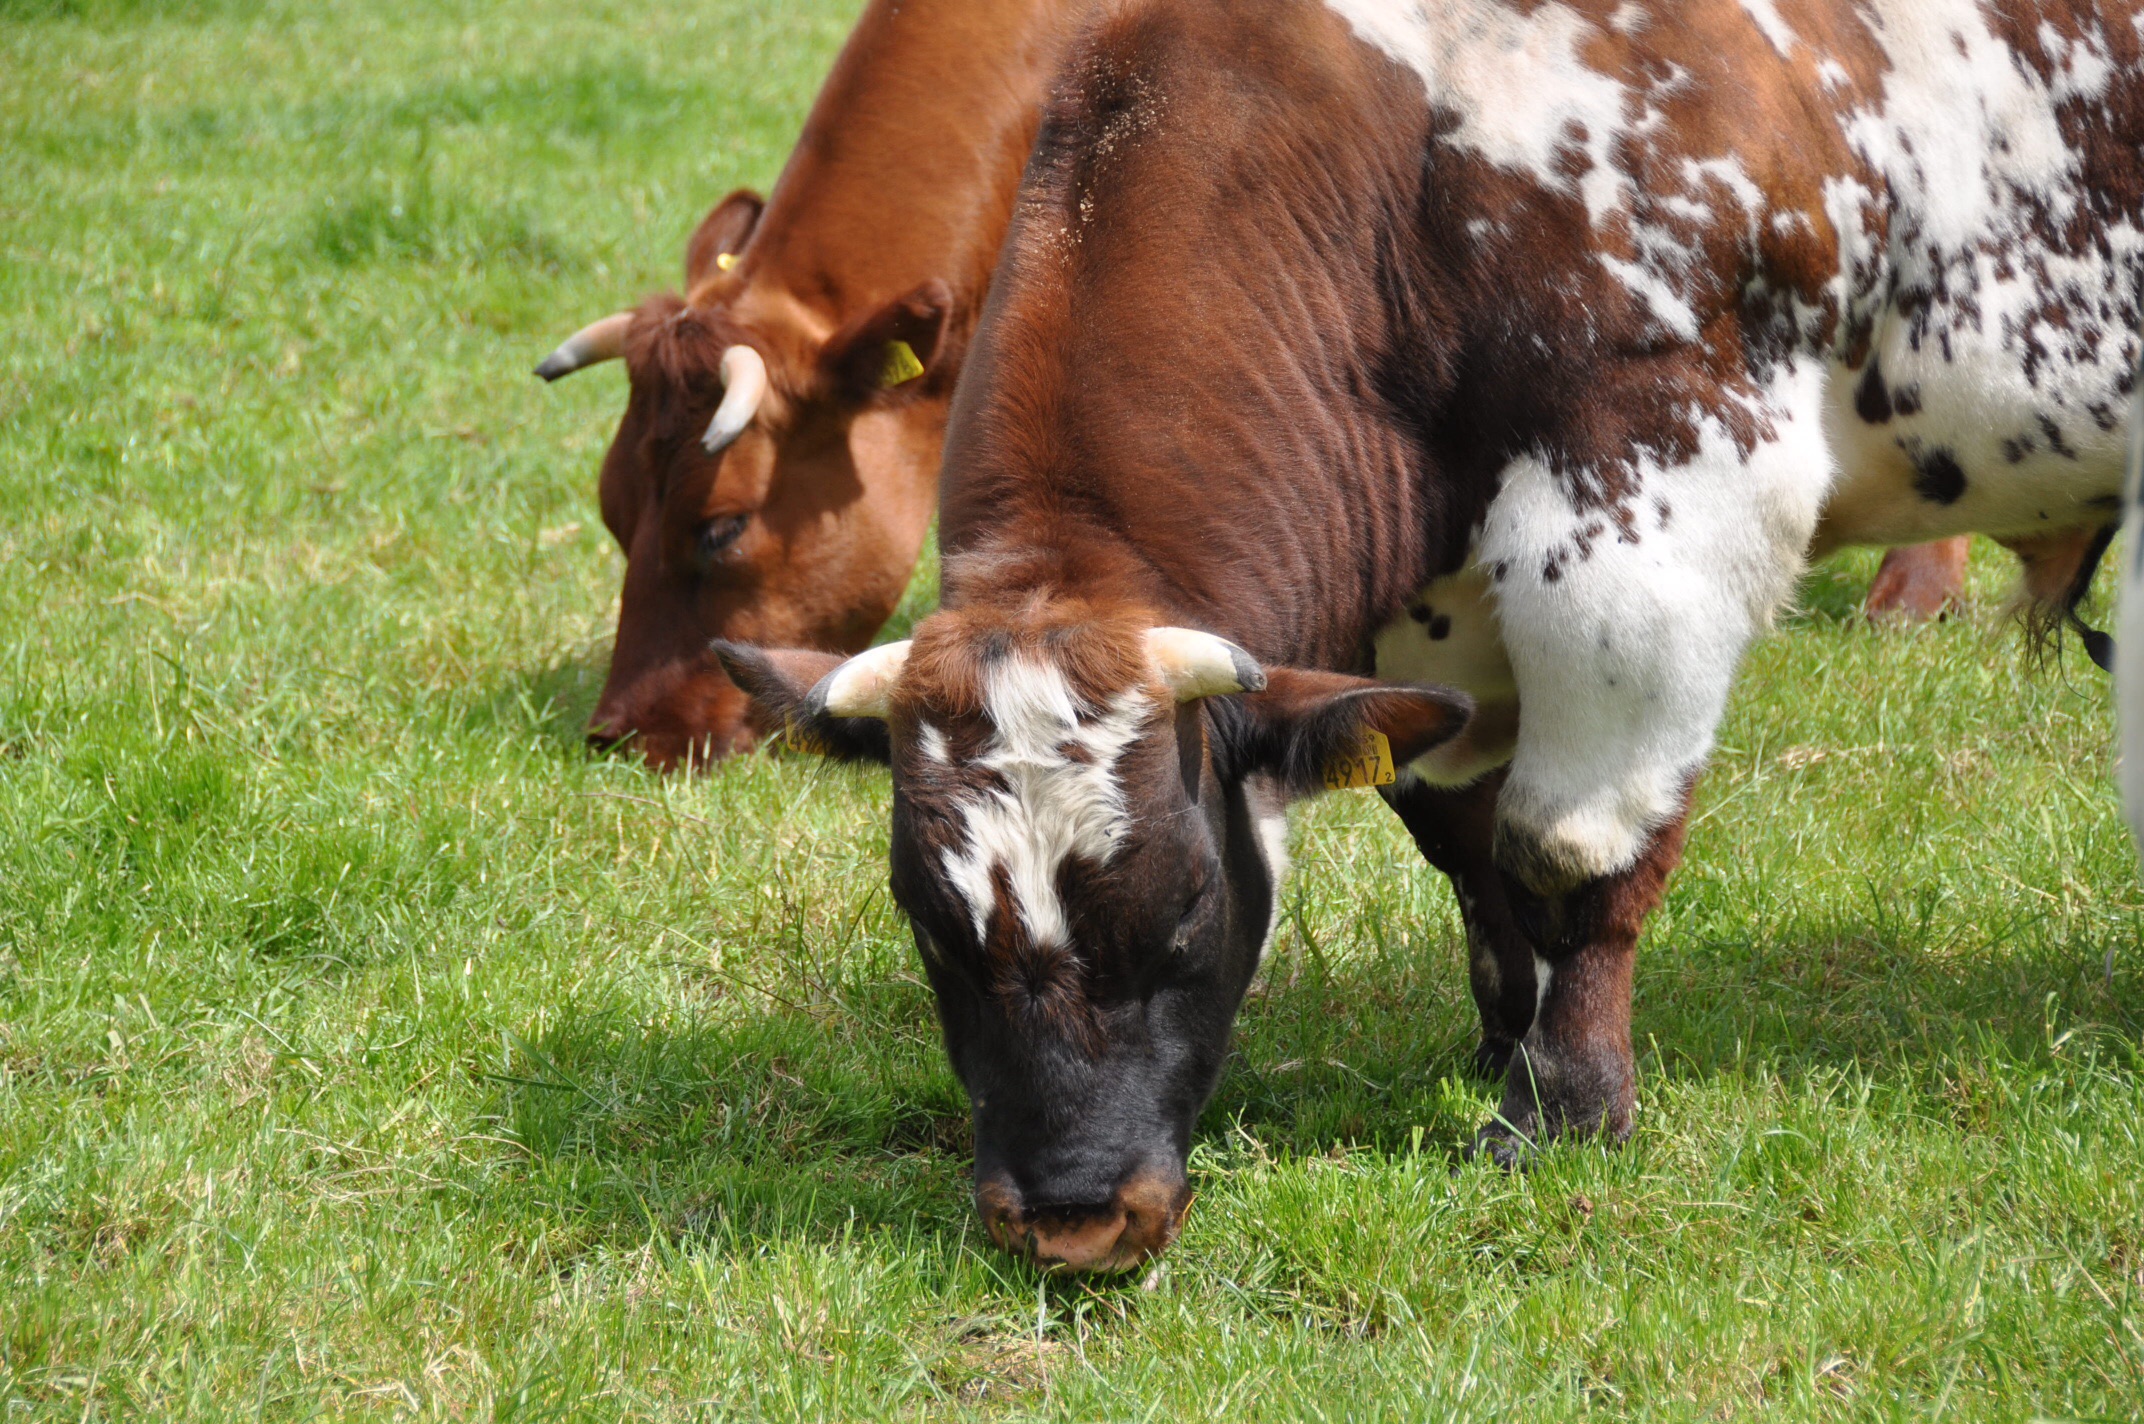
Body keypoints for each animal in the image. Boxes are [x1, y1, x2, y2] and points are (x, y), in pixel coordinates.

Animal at [720, 0, 2144, 1272]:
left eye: (1187, 910)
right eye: (927, 926)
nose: (1071, 1217)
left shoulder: (1654, 514)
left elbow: (1569, 851)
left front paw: (1560, 1107)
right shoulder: (1424, 624)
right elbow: (1468, 842)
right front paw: (1500, 1037)